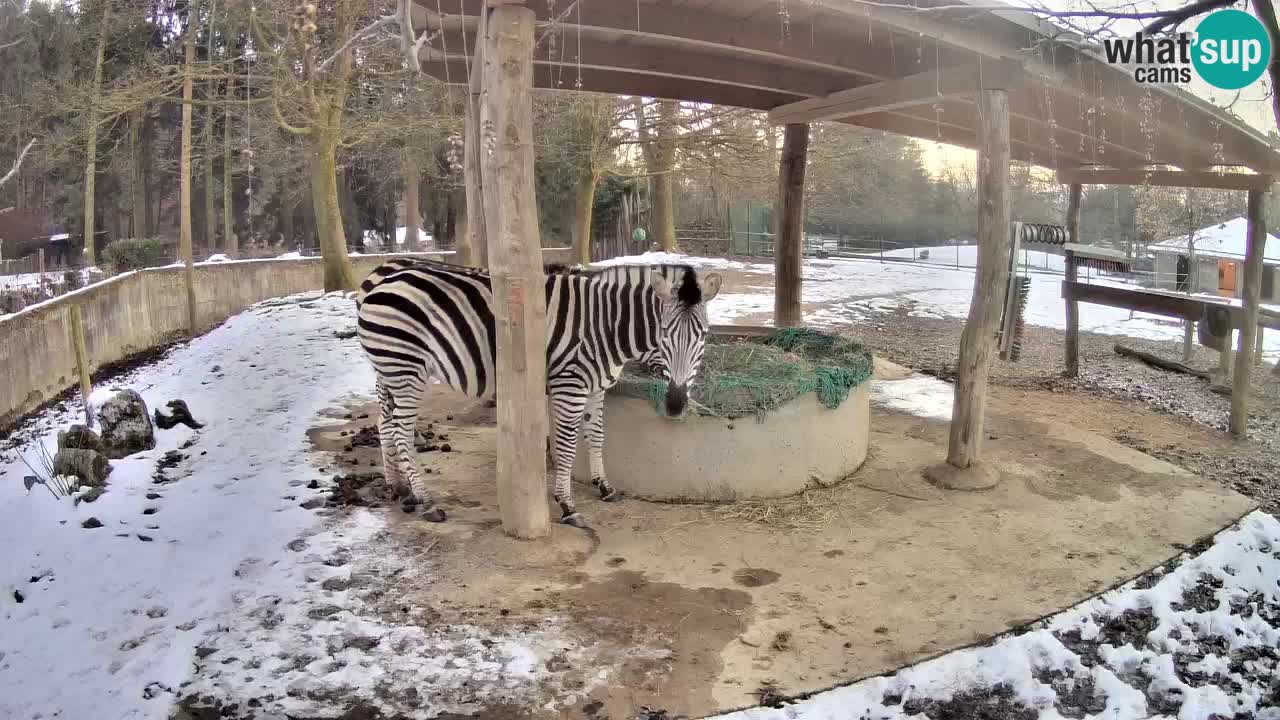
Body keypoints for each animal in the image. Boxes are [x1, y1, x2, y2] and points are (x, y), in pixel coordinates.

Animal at [355, 254, 727, 525]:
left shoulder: (597, 387)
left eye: (704, 334)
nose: (676, 405)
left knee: (385, 423)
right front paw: (567, 505)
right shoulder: (569, 385)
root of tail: (378, 282)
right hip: (407, 369)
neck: (604, 325)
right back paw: (426, 501)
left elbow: (597, 436)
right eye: (663, 333)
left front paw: (604, 487)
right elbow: (566, 445)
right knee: (401, 430)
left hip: (387, 369)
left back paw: (398, 487)